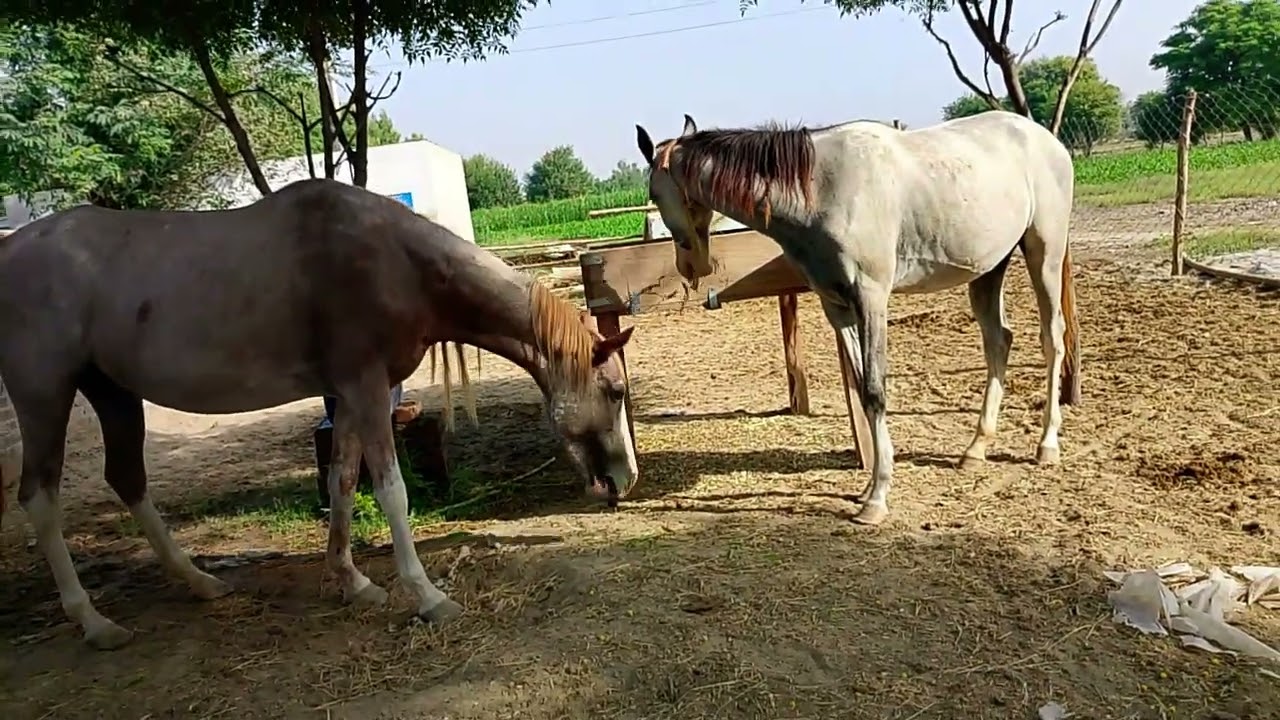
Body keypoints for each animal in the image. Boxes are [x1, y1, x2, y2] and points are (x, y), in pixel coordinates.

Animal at [0, 178, 638, 650]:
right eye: (613, 392)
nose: (625, 480)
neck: (395, 260)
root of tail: (11, 249)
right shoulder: (366, 386)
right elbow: (390, 491)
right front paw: (427, 597)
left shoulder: (353, 395)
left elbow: (343, 480)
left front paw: (353, 582)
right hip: (45, 395)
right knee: (40, 496)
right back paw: (93, 621)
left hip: (112, 392)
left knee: (127, 480)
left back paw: (199, 583)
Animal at [634, 110, 1081, 526]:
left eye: (653, 192)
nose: (692, 267)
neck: (820, 188)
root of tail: (1047, 139)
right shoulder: (837, 306)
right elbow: (863, 390)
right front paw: (868, 489)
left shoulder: (872, 299)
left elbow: (875, 390)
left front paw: (878, 499)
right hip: (988, 270)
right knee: (998, 342)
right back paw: (975, 449)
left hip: (1044, 253)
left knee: (1052, 339)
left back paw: (1047, 446)